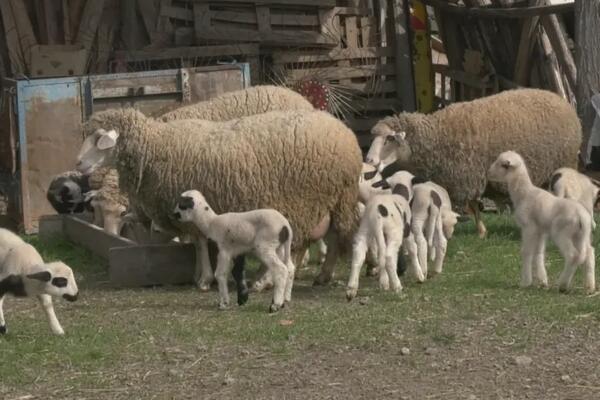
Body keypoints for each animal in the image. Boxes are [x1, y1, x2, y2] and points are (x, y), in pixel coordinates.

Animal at [75, 108, 360, 290]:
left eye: (99, 139)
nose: (78, 163)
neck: (154, 148)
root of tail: (345, 133)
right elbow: (200, 242)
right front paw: (200, 275)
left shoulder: (191, 208)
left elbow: (200, 243)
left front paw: (204, 279)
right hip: (334, 200)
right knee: (332, 237)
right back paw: (321, 276)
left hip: (304, 200)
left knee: (300, 246)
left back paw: (263, 281)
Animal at [364, 89, 584, 238]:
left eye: (389, 139)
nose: (369, 160)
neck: (437, 136)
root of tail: (562, 100)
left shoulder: (467, 177)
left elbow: (472, 206)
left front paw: (480, 232)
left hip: (565, 162)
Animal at [488, 150, 596, 294]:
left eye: (502, 164)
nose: (488, 173)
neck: (524, 194)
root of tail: (581, 216)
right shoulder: (540, 230)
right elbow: (538, 254)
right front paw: (542, 281)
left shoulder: (528, 227)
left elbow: (527, 252)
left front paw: (525, 282)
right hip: (581, 235)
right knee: (589, 253)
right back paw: (589, 287)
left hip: (562, 232)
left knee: (573, 255)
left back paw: (563, 284)